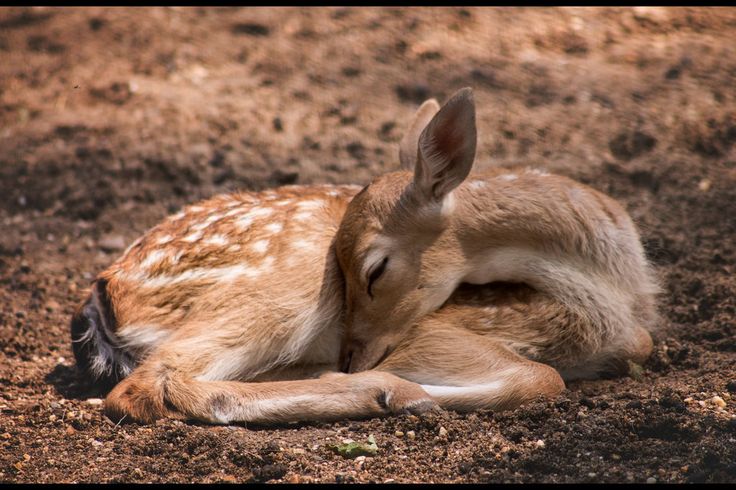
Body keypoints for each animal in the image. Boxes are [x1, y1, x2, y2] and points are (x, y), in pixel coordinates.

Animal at [67, 88, 656, 424]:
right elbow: (540, 376)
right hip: (288, 284)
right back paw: (387, 392)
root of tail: (103, 294)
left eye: (375, 271)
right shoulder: (442, 330)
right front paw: (414, 389)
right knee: (148, 386)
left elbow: (637, 348)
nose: (353, 356)